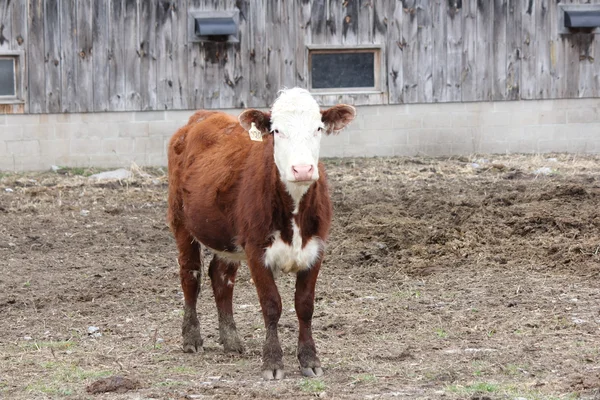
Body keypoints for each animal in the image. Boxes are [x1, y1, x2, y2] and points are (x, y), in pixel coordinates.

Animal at [166, 88, 356, 382]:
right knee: (190, 275)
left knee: (221, 278)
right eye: (277, 131)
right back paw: (191, 338)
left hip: (229, 239)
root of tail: (201, 116)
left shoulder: (316, 249)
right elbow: (271, 305)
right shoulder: (256, 251)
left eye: (318, 128)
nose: (302, 169)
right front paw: (273, 362)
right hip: (181, 222)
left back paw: (231, 340)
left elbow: (305, 305)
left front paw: (310, 360)